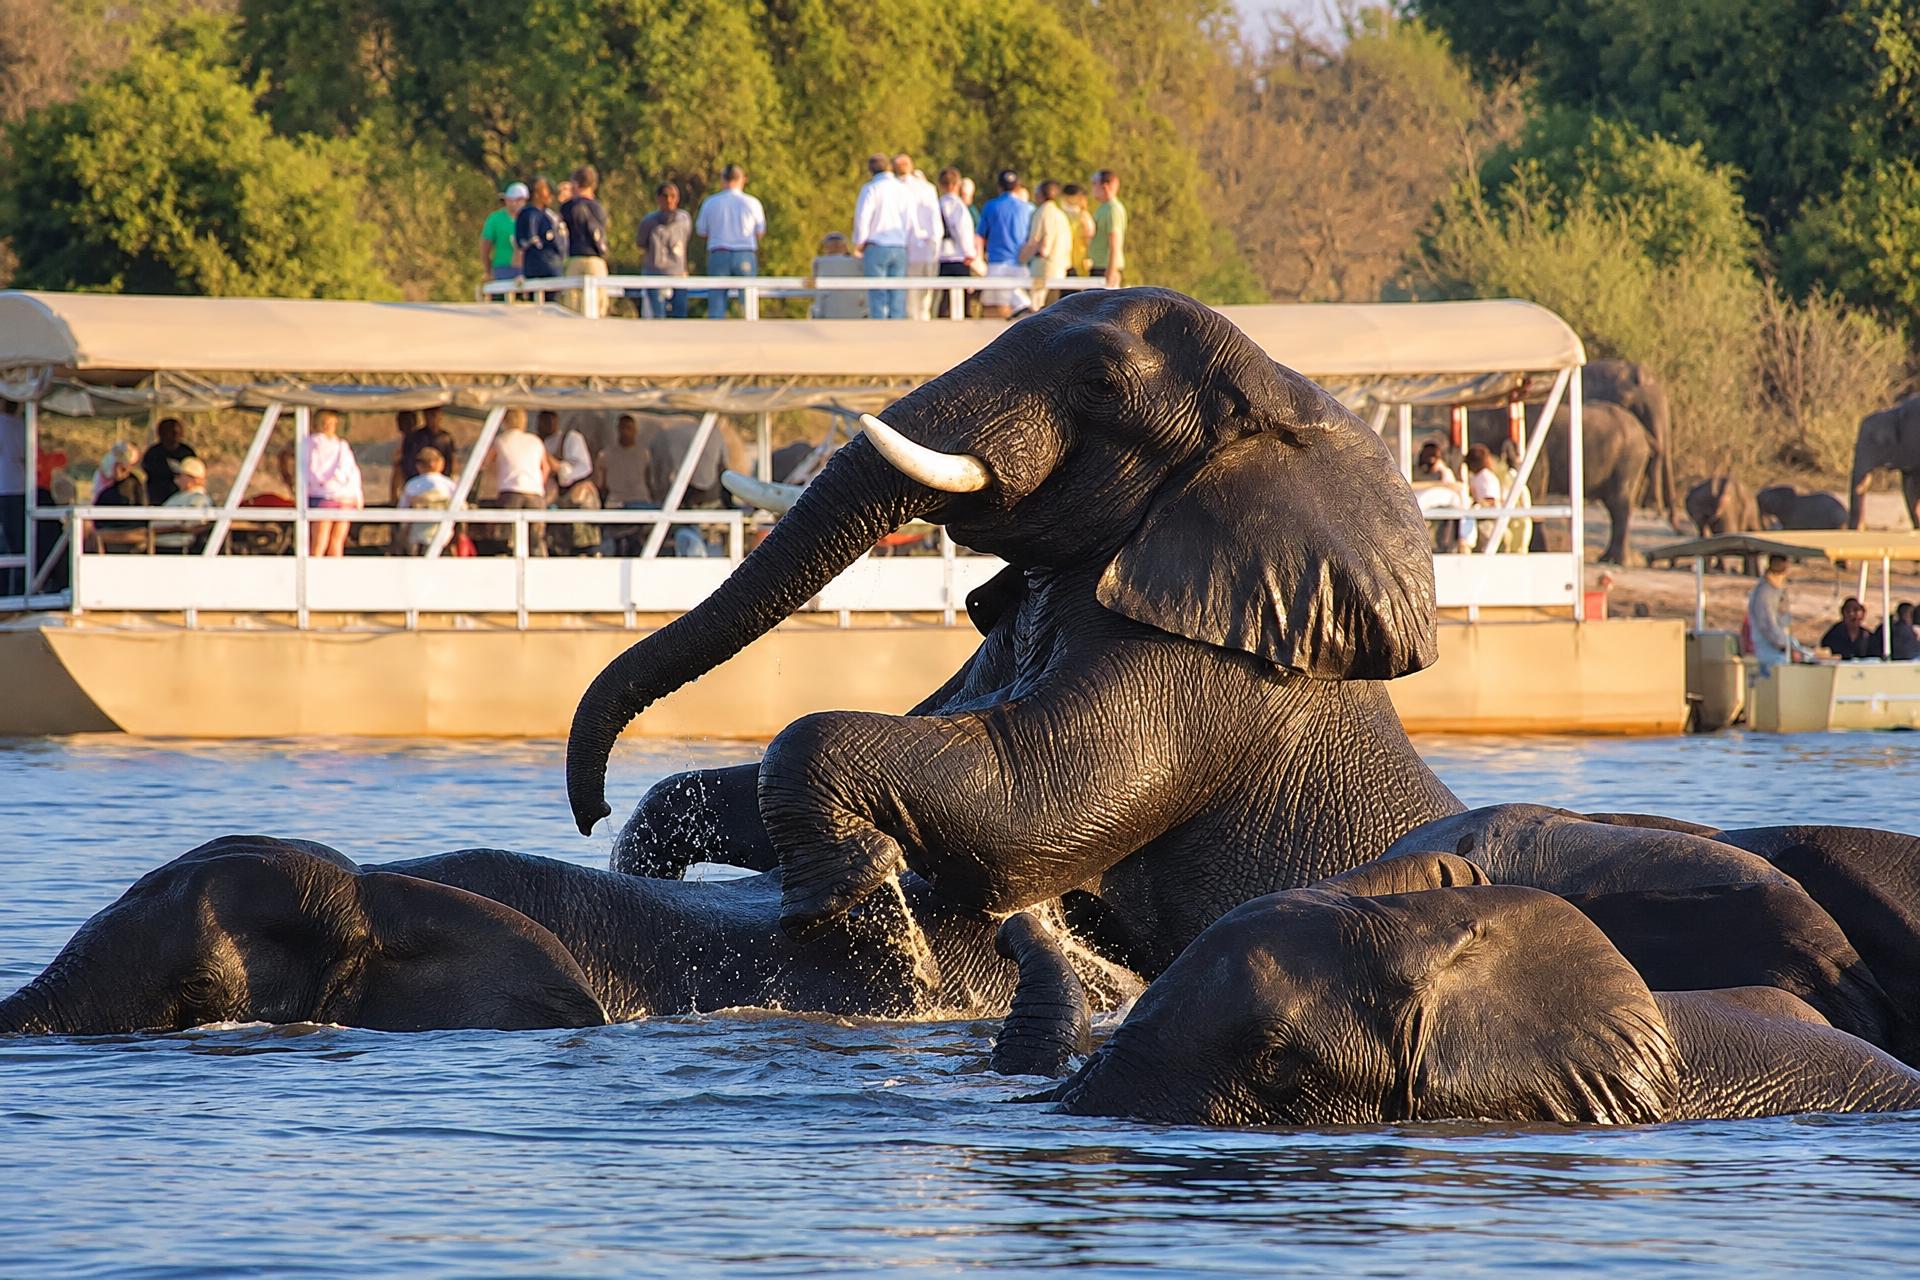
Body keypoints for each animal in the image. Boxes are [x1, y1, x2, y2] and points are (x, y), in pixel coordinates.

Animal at [570, 288, 1462, 978]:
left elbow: (1030, 806)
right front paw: (648, 856)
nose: (590, 810)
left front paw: (845, 905)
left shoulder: (1211, 671)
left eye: (1099, 384)